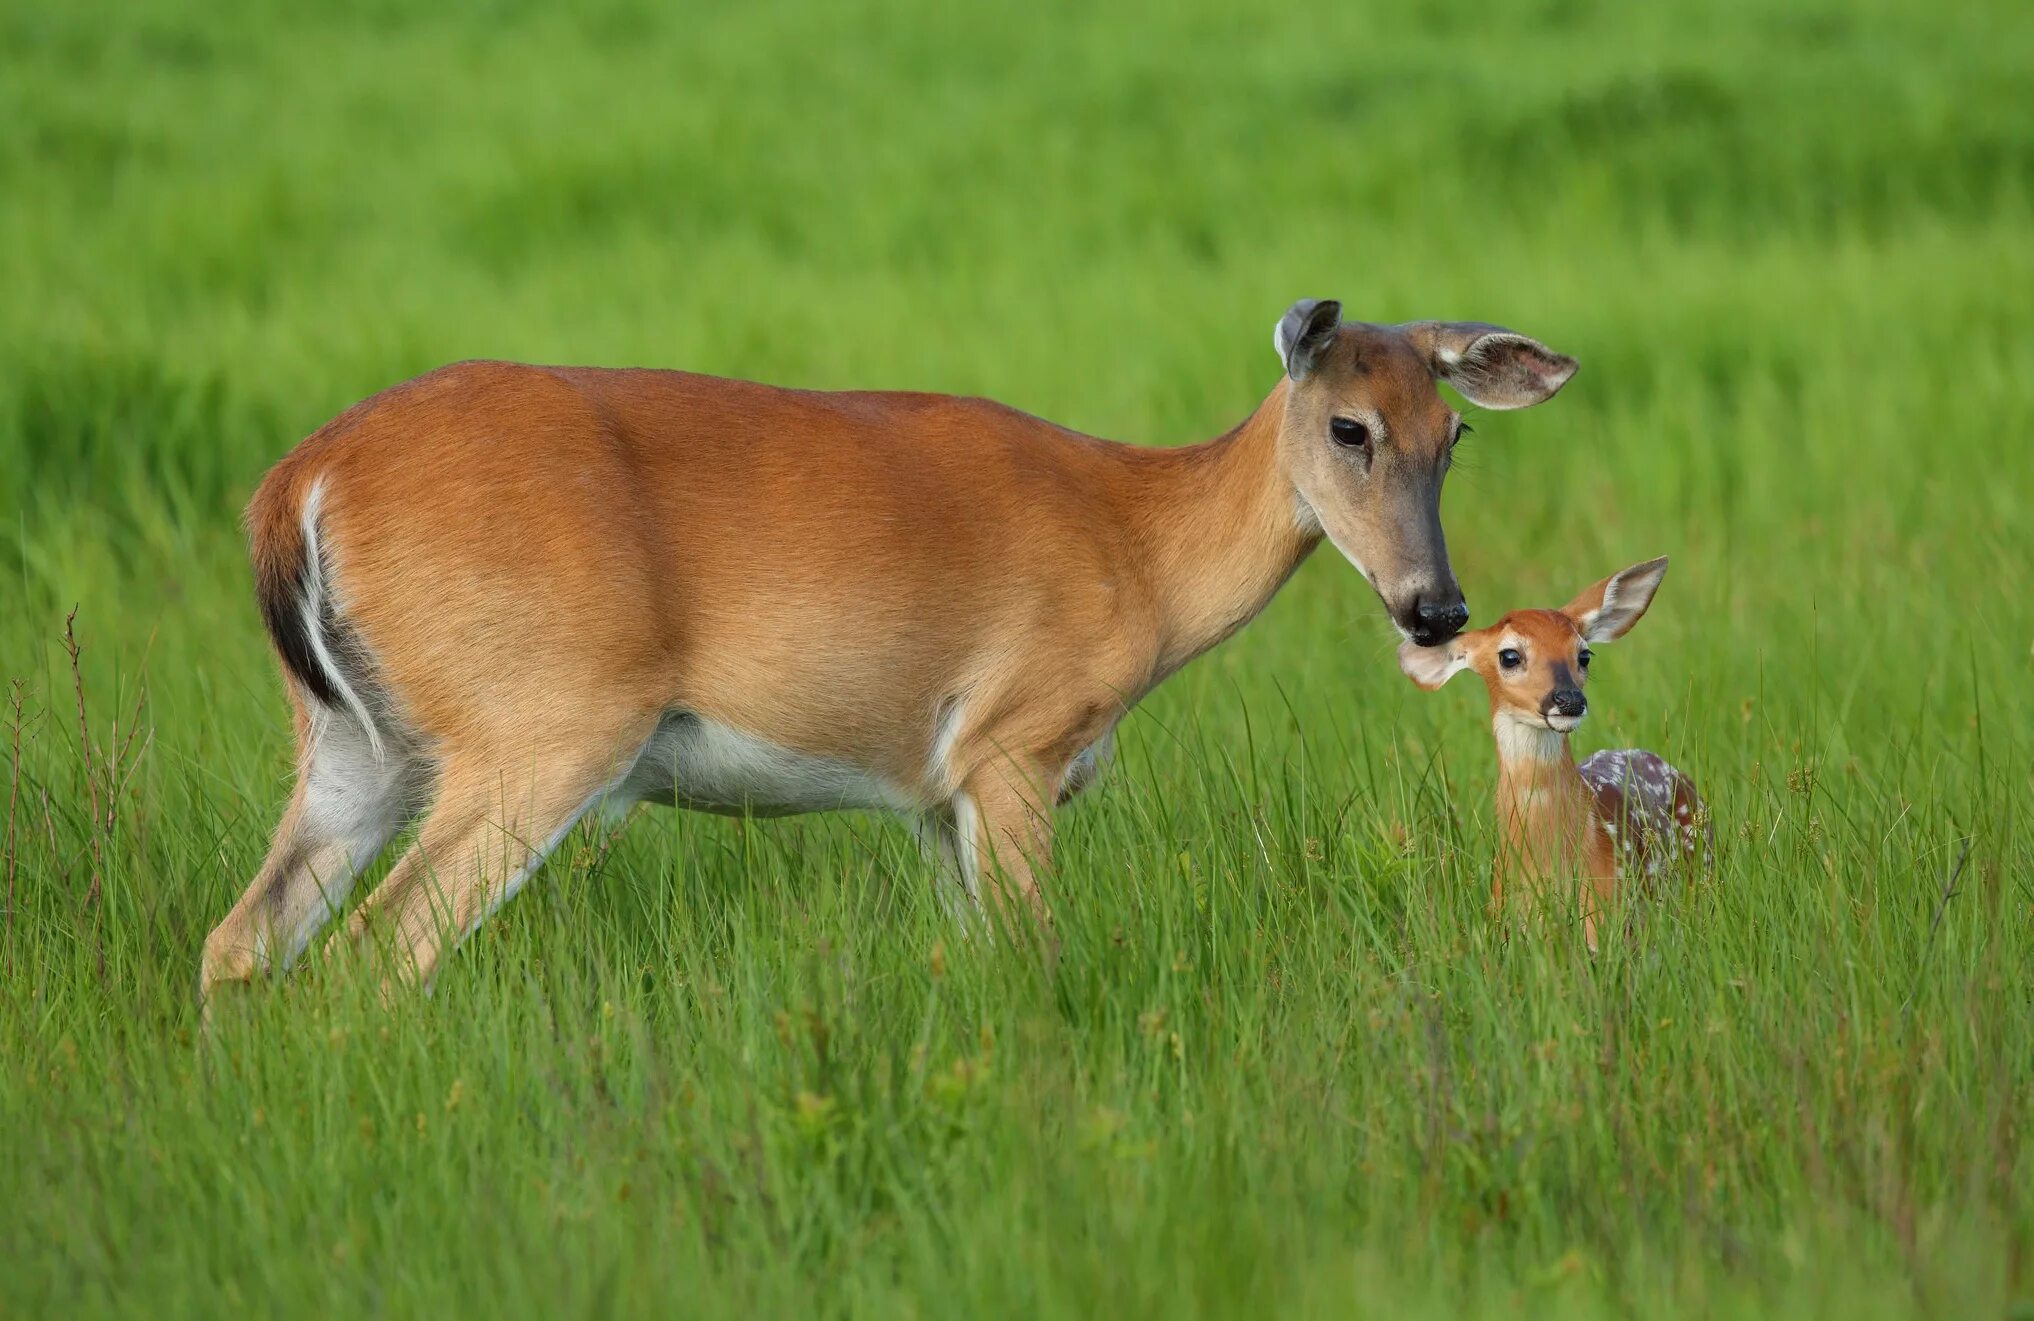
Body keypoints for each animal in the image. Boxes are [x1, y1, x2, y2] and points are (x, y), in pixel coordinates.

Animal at [198, 301, 1578, 1001]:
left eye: (1453, 434)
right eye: (1349, 427)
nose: (1436, 608)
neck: (1138, 546)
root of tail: (297, 483)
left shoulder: (931, 796)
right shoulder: (1014, 745)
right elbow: (1035, 965)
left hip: (351, 737)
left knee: (242, 940)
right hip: (541, 722)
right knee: (375, 960)